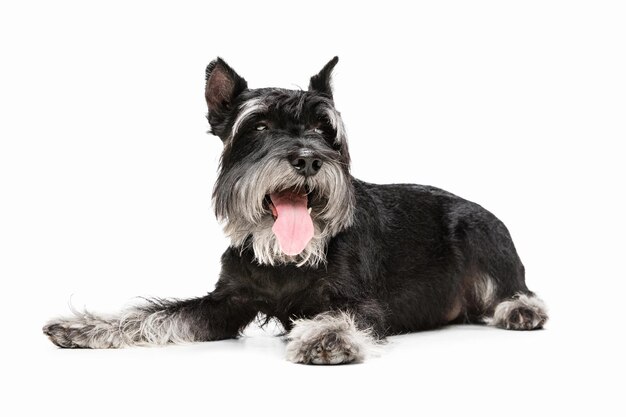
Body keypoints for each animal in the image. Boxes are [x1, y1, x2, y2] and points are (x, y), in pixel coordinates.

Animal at [42, 57, 544, 362]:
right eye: (259, 126)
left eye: (324, 130)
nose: (306, 159)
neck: (284, 256)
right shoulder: (225, 302)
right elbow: (157, 315)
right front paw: (87, 327)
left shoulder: (361, 303)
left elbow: (342, 316)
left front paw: (325, 336)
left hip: (477, 229)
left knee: (516, 288)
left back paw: (521, 310)